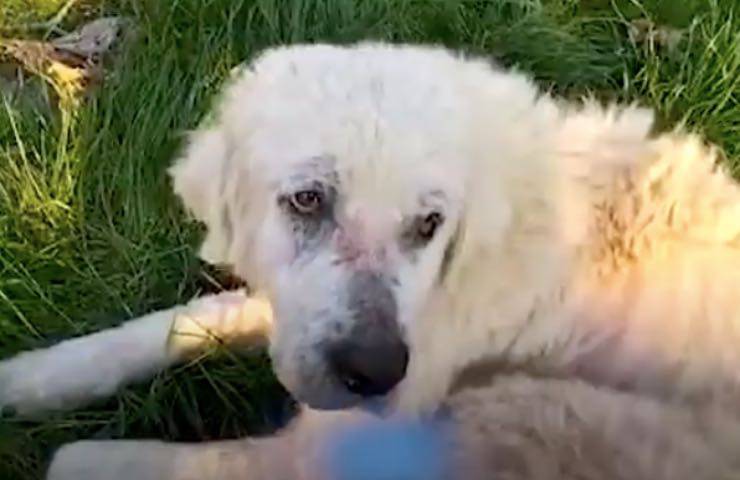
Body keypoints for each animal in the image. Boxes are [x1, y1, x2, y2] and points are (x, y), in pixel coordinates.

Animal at [2, 42, 740, 479]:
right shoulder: (292, 317)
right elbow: (179, 323)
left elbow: (91, 458)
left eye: (428, 224)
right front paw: (30, 378)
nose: (375, 371)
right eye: (308, 200)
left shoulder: (326, 446)